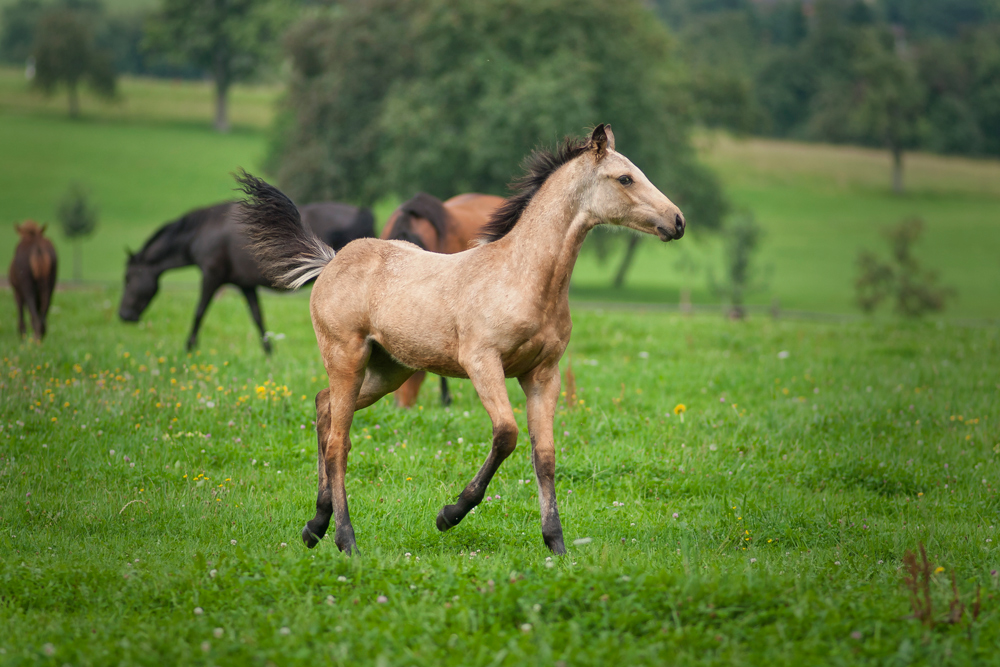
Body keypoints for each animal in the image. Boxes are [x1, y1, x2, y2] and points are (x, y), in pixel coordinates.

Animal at [118, 201, 376, 352]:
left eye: (128, 278)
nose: (124, 315)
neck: (206, 229)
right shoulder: (245, 285)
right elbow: (257, 317)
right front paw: (269, 351)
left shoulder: (211, 277)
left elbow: (199, 312)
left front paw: (189, 347)